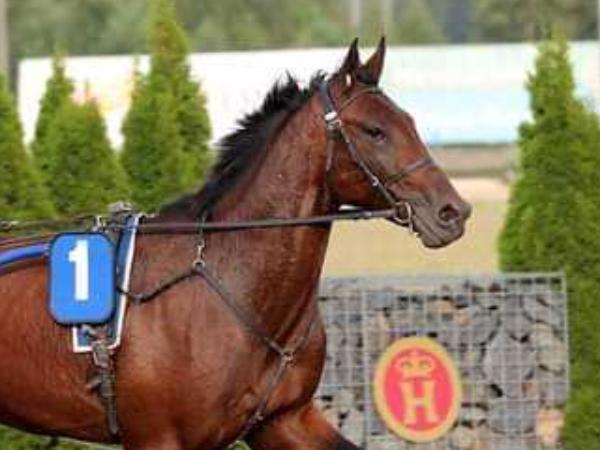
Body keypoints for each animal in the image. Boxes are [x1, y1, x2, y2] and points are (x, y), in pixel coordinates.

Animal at [0, 38, 470, 450]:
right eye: (375, 131)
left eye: (409, 122)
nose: (453, 212)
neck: (232, 285)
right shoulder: (159, 436)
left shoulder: (284, 420)